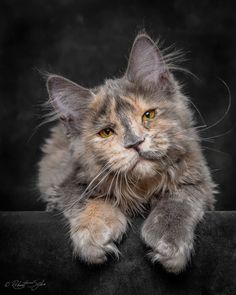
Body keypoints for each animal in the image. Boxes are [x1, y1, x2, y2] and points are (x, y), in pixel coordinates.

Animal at [37, 33, 217, 274]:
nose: (135, 143)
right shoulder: (69, 182)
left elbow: (178, 199)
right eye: (106, 132)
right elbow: (91, 200)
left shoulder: (198, 179)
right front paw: (93, 233)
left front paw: (168, 242)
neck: (142, 187)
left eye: (148, 115)